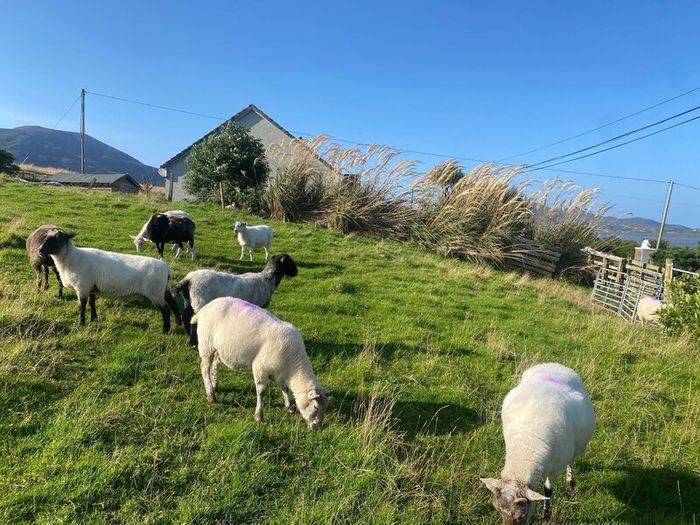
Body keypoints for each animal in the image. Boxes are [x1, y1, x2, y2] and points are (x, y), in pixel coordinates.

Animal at [38, 228, 182, 333]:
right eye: (45, 236)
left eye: (57, 238)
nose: (40, 250)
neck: (71, 259)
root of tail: (167, 269)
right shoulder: (91, 288)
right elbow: (92, 303)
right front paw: (94, 320)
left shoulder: (82, 287)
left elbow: (82, 307)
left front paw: (81, 324)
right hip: (163, 289)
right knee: (174, 304)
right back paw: (178, 323)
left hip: (155, 292)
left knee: (166, 310)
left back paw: (165, 331)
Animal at [190, 296, 331, 429]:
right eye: (316, 407)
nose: (317, 427)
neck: (293, 367)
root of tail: (204, 309)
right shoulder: (260, 368)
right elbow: (261, 392)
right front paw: (259, 416)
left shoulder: (279, 373)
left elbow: (284, 388)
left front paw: (289, 406)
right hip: (206, 345)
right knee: (204, 368)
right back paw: (211, 395)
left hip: (218, 349)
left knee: (214, 365)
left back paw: (214, 386)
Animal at [480, 363, 596, 525]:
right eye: (498, 511)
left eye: (522, 515)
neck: (526, 446)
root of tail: (554, 364)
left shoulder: (556, 469)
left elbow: (548, 490)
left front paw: (547, 515)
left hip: (577, 447)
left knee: (571, 462)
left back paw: (570, 486)